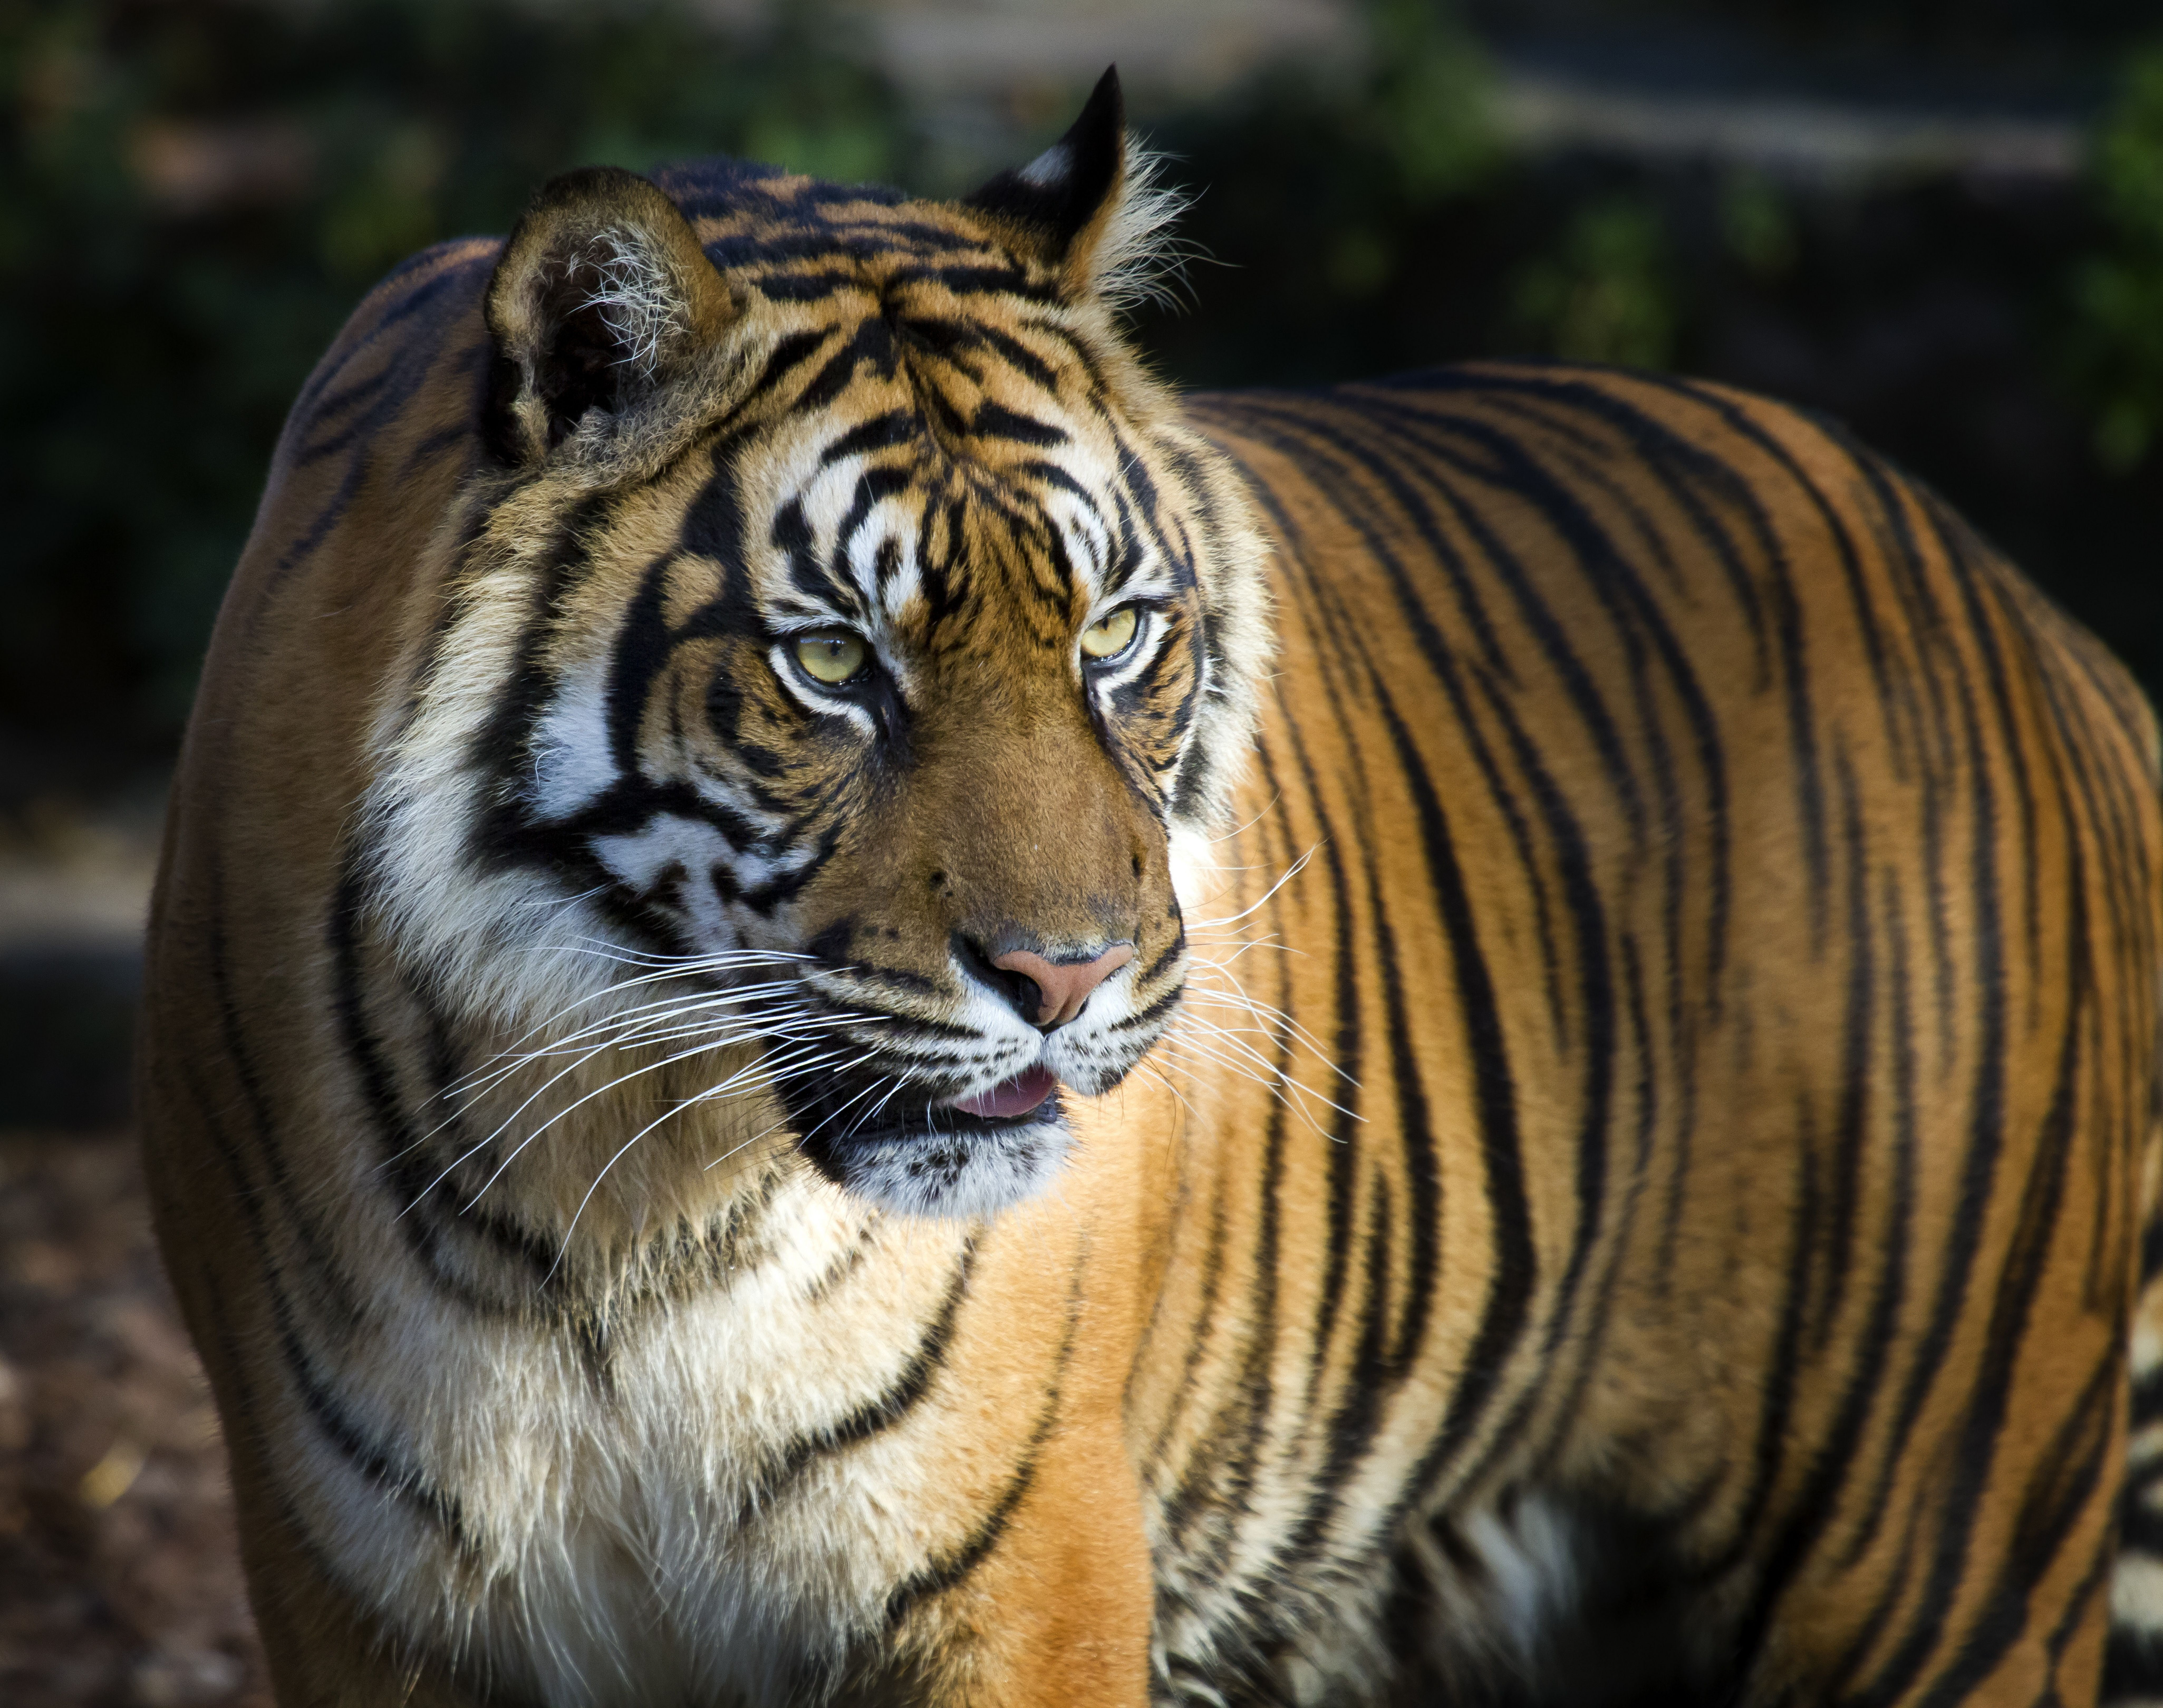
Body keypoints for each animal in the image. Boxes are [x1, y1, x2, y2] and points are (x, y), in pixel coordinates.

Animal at [136, 64, 2163, 1707]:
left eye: (1112, 635)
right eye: (831, 660)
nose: (1063, 977)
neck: (625, 1194)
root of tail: (2022, 606)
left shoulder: (1019, 1566)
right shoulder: (353, 1588)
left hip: (1930, 1555)